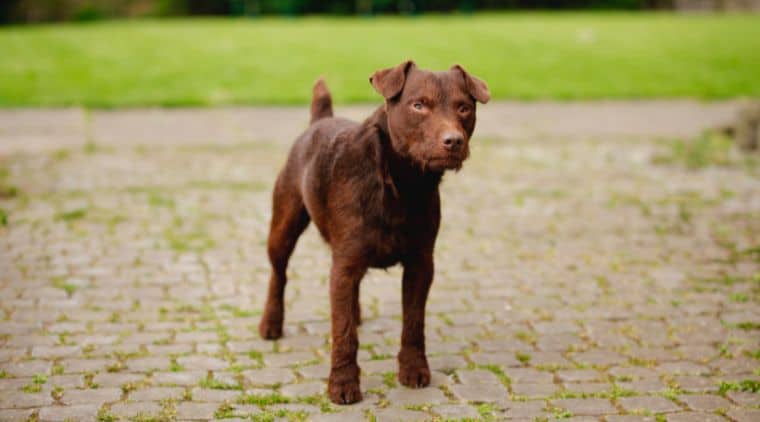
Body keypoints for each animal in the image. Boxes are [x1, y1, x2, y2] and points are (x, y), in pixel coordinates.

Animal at [258, 61, 490, 404]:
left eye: (464, 108)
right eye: (418, 105)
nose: (453, 141)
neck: (400, 182)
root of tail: (319, 120)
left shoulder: (420, 264)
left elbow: (413, 322)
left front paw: (413, 369)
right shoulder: (345, 262)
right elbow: (343, 333)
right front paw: (342, 384)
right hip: (284, 226)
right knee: (279, 273)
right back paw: (271, 323)